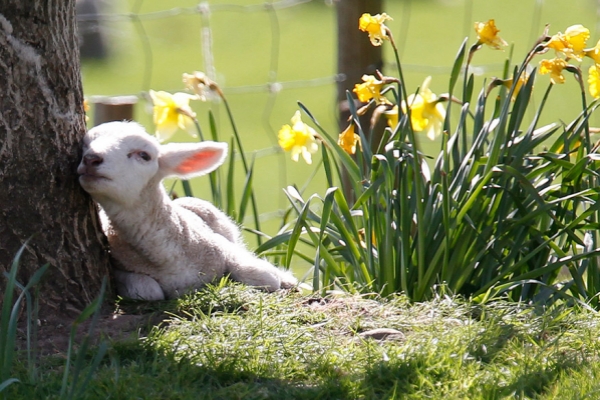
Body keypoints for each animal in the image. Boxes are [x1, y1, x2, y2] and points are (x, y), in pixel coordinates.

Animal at [77, 121, 298, 300]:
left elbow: (264, 276)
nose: (91, 158)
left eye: (144, 155)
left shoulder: (222, 245)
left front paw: (280, 279)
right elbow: (148, 290)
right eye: (84, 145)